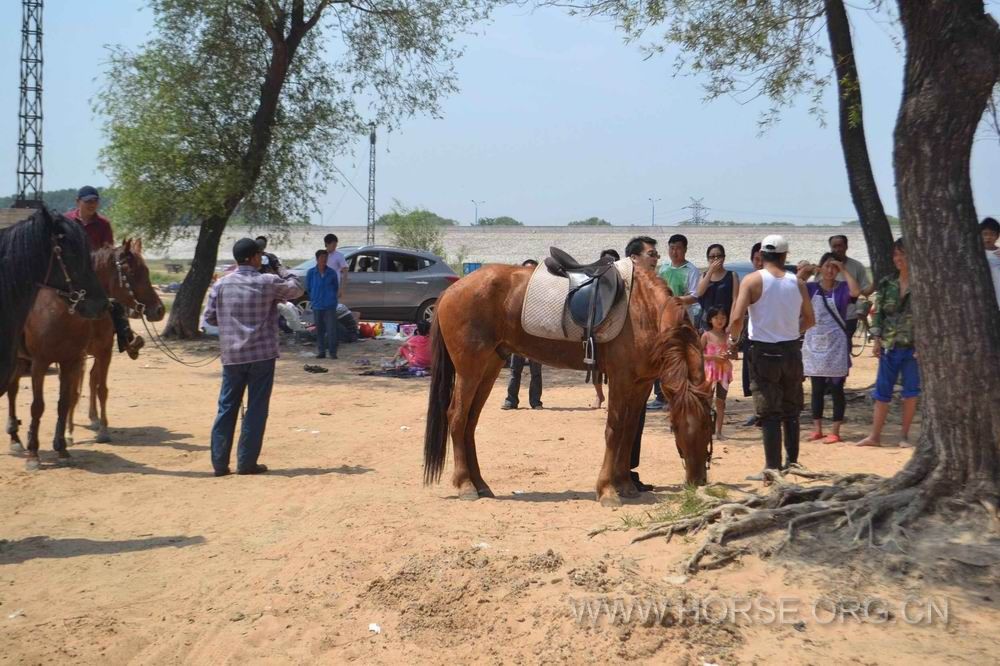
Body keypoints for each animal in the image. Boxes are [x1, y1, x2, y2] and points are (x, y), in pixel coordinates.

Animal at [7, 240, 166, 466]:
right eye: (133, 272)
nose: (159, 310)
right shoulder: (42, 362)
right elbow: (41, 405)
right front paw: (39, 452)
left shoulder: (90, 356)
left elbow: (86, 393)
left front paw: (92, 435)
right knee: (12, 391)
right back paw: (15, 438)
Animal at [426, 258, 716, 504]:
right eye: (676, 426)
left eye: (708, 426)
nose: (697, 480)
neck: (644, 309)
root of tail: (451, 291)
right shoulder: (621, 380)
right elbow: (615, 429)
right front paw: (608, 490)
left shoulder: (641, 383)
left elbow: (630, 430)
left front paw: (625, 485)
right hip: (470, 370)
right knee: (457, 417)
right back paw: (465, 485)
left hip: (489, 368)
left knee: (470, 422)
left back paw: (480, 484)